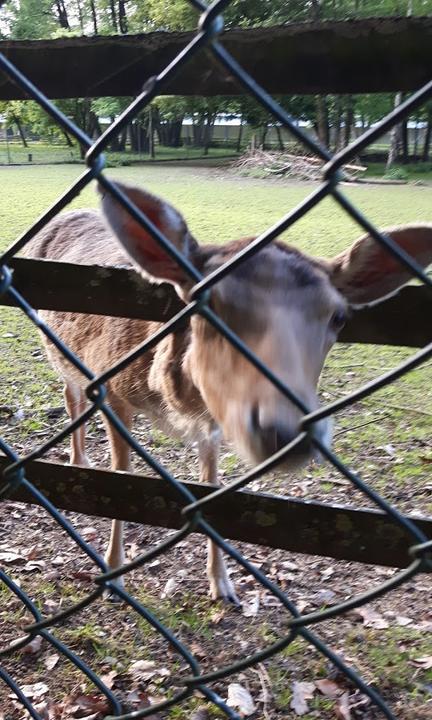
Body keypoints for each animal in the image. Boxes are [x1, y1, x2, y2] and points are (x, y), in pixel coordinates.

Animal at [22, 181, 432, 600]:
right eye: (208, 304)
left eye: (339, 316)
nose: (284, 431)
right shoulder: (110, 386)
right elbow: (121, 476)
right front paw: (114, 572)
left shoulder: (215, 421)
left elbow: (211, 487)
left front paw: (221, 582)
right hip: (55, 344)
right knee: (71, 396)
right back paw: (79, 461)